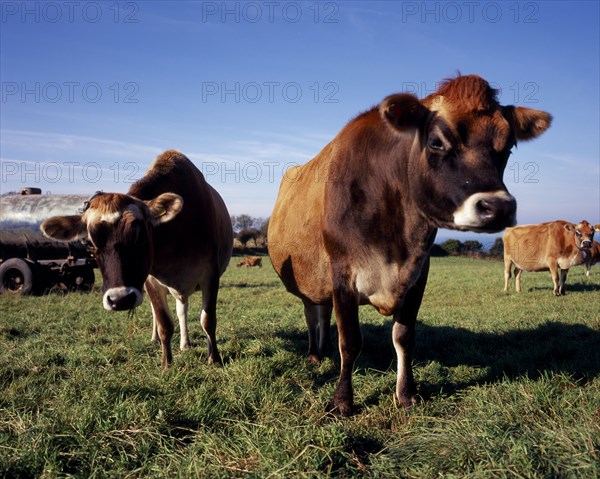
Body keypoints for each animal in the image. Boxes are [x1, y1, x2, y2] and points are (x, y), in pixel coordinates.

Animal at [41, 152, 233, 370]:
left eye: (140, 236)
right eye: (89, 243)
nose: (120, 299)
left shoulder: (211, 275)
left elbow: (208, 320)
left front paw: (214, 358)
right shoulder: (150, 280)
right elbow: (164, 323)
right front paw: (166, 364)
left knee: (182, 310)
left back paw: (185, 343)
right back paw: (160, 339)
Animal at [270, 74, 552, 416]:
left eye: (508, 146)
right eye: (436, 142)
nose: (497, 208)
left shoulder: (419, 273)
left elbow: (404, 337)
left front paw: (406, 394)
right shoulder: (342, 274)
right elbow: (350, 341)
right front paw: (342, 401)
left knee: (322, 312)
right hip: (308, 277)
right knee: (312, 313)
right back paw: (314, 353)